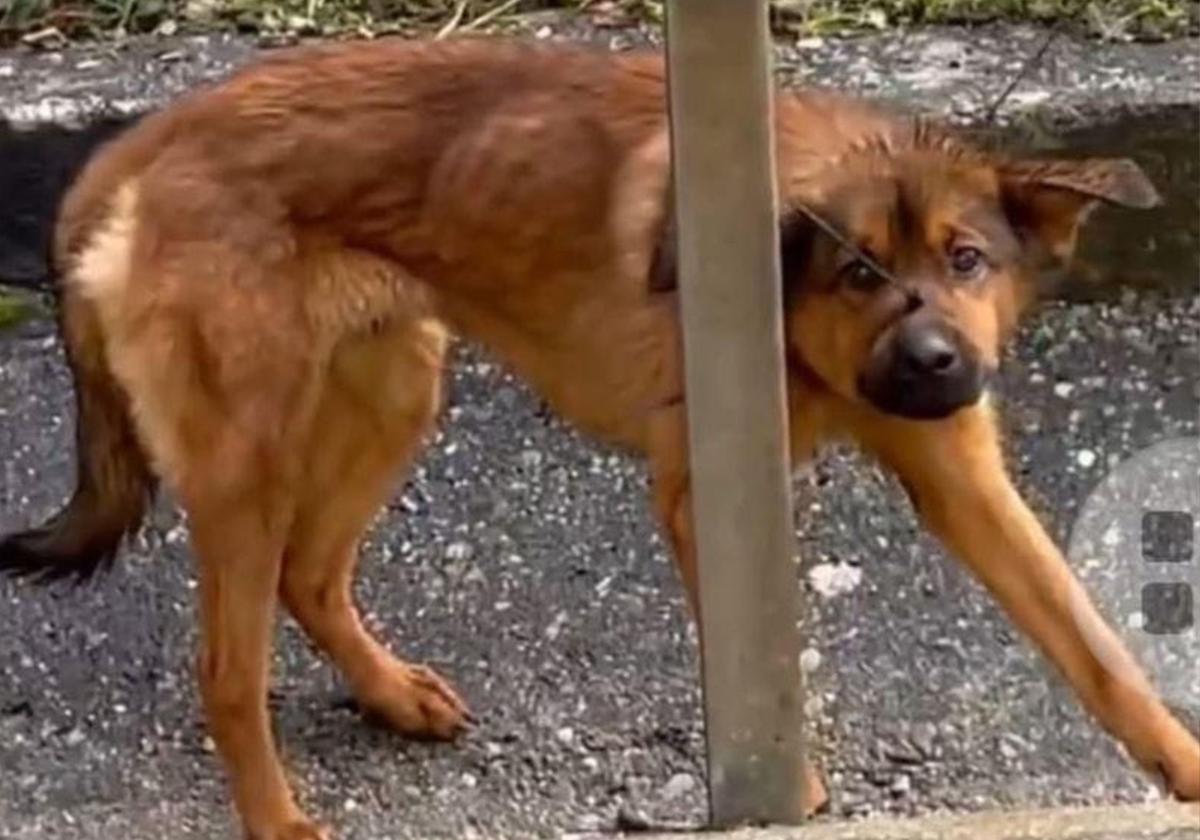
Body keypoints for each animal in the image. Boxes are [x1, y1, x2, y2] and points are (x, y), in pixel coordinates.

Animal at [0, 34, 1195, 840]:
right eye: (858, 273)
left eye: (966, 260)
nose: (937, 364)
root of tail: (141, 148)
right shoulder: (707, 493)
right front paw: (794, 796)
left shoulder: (962, 477)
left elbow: (1094, 649)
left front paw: (1179, 769)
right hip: (249, 464)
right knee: (227, 671)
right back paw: (281, 815)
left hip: (396, 391)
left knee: (313, 575)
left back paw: (391, 696)